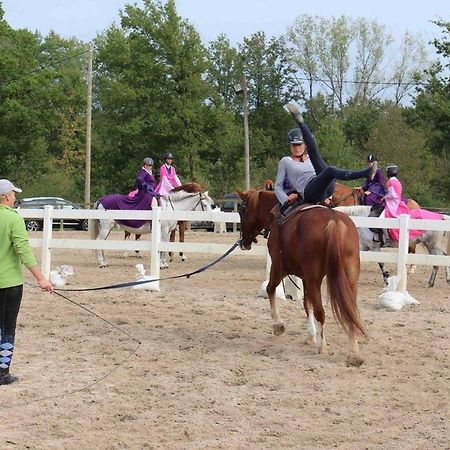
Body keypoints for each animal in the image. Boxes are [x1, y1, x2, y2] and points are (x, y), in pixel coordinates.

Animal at [237, 188, 368, 368]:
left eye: (242, 211)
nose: (243, 242)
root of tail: (334, 222)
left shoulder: (279, 267)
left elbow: (271, 289)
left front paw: (278, 325)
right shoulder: (305, 277)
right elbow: (307, 304)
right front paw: (310, 335)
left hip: (314, 278)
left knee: (321, 311)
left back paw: (322, 347)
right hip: (349, 277)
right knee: (350, 311)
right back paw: (354, 353)